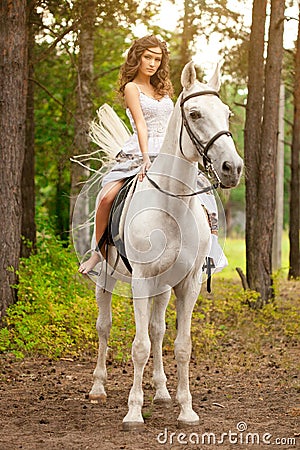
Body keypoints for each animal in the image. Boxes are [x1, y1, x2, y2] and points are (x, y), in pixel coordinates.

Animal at [88, 61, 243, 430]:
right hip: (106, 278)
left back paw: (160, 391)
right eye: (195, 113)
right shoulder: (141, 281)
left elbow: (181, 345)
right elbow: (139, 346)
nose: (233, 168)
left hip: (162, 286)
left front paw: (186, 410)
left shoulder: (188, 284)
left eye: (228, 114)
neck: (171, 204)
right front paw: (133, 412)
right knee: (104, 327)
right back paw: (98, 388)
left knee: (158, 331)